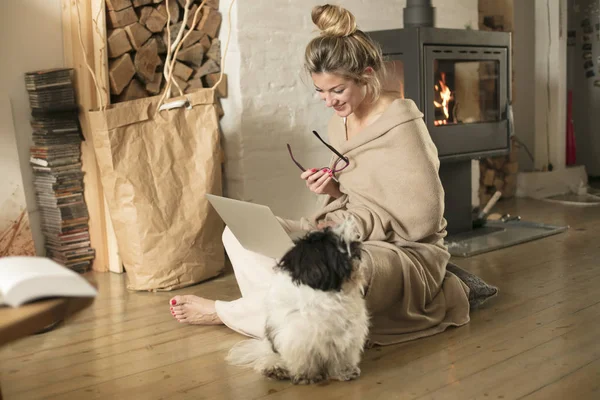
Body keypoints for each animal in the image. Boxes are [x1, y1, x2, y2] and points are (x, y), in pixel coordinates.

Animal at [225, 219, 368, 384]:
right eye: (338, 252)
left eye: (353, 246)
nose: (356, 253)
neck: (329, 294)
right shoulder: (299, 338)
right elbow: (304, 359)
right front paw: (307, 375)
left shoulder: (347, 335)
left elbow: (342, 357)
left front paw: (345, 371)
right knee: (271, 356)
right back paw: (275, 368)